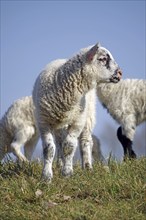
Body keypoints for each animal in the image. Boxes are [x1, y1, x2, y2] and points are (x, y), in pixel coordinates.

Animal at [32, 42, 122, 181]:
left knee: (85, 141)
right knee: (59, 142)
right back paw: (59, 163)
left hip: (88, 115)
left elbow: (69, 147)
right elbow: (49, 149)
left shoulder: (77, 121)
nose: (120, 73)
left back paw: (87, 167)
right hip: (59, 123)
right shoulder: (43, 122)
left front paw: (67, 173)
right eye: (102, 59)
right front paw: (46, 176)